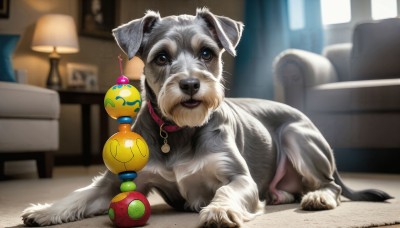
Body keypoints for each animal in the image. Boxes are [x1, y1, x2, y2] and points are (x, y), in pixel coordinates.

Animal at [21, 8, 390, 227]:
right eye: (161, 57)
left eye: (207, 53)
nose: (189, 84)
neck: (178, 130)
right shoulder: (114, 182)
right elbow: (80, 194)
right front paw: (44, 210)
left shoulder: (239, 177)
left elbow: (226, 191)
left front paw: (219, 209)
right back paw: (281, 195)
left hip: (296, 136)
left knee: (332, 185)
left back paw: (317, 197)